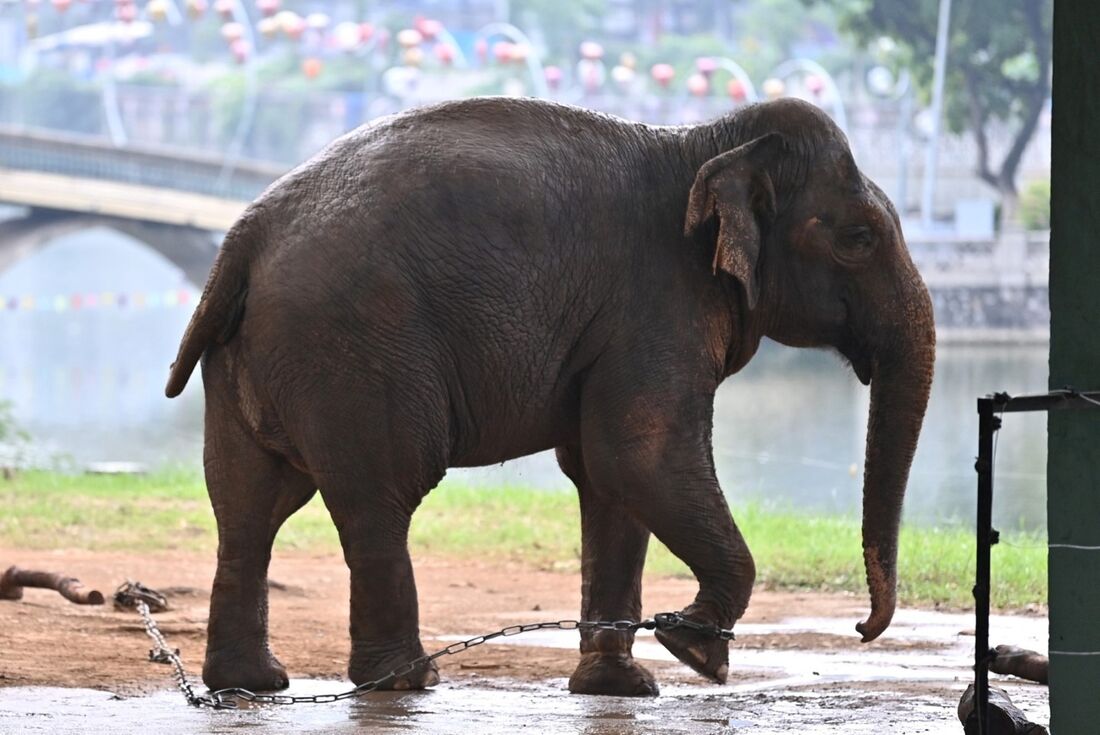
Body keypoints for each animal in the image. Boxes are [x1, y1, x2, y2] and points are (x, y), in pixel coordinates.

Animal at [165, 94, 937, 699]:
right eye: (859, 237)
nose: (863, 627)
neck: (706, 142)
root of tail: (245, 236)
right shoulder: (658, 304)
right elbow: (639, 456)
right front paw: (694, 649)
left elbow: (608, 477)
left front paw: (622, 686)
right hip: (357, 350)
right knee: (381, 496)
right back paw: (408, 680)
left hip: (249, 360)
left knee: (249, 505)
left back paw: (252, 684)